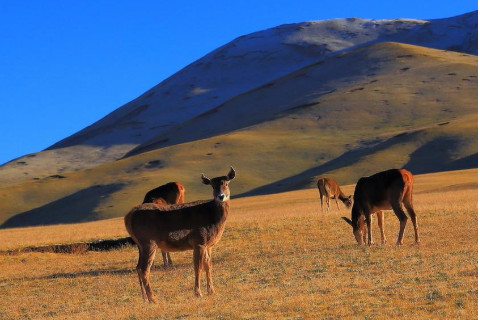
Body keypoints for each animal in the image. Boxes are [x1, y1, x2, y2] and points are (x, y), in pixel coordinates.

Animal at [124, 168, 235, 302]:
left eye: (226, 183)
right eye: (212, 185)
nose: (221, 196)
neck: (212, 217)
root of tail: (128, 217)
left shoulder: (208, 245)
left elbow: (208, 265)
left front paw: (211, 291)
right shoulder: (199, 241)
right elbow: (198, 267)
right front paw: (198, 293)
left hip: (140, 244)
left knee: (138, 267)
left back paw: (145, 298)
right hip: (148, 242)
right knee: (145, 269)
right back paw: (153, 298)